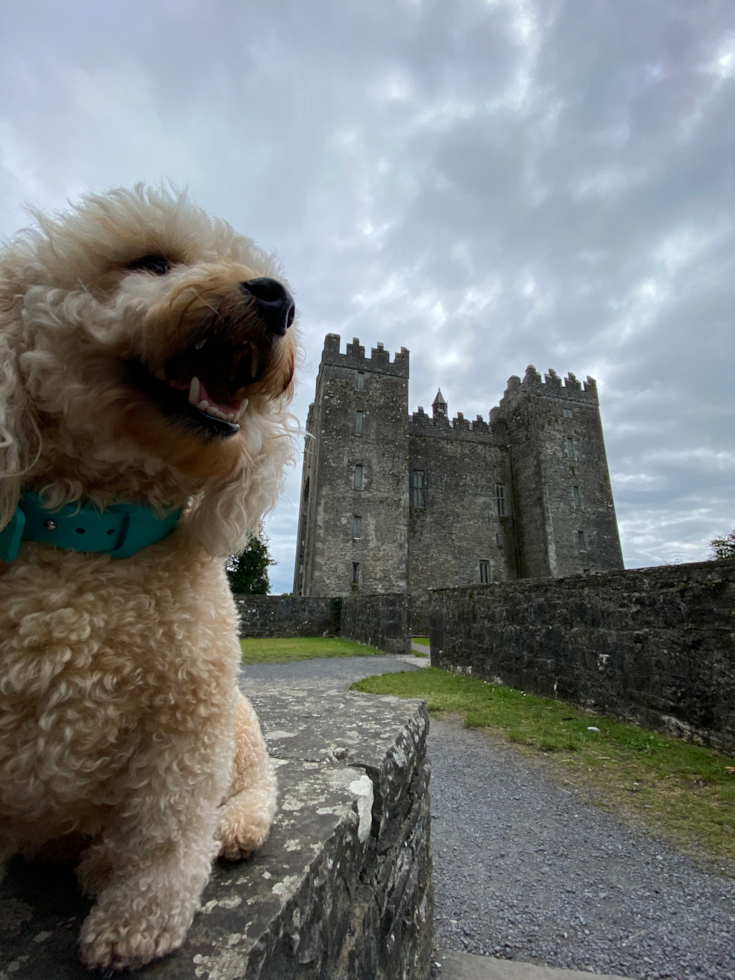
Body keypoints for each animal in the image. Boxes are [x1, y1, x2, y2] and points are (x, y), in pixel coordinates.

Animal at [0, 186, 296, 972]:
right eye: (151, 263)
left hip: (240, 741)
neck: (96, 538)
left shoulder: (185, 724)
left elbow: (166, 835)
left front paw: (135, 924)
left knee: (242, 805)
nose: (278, 298)